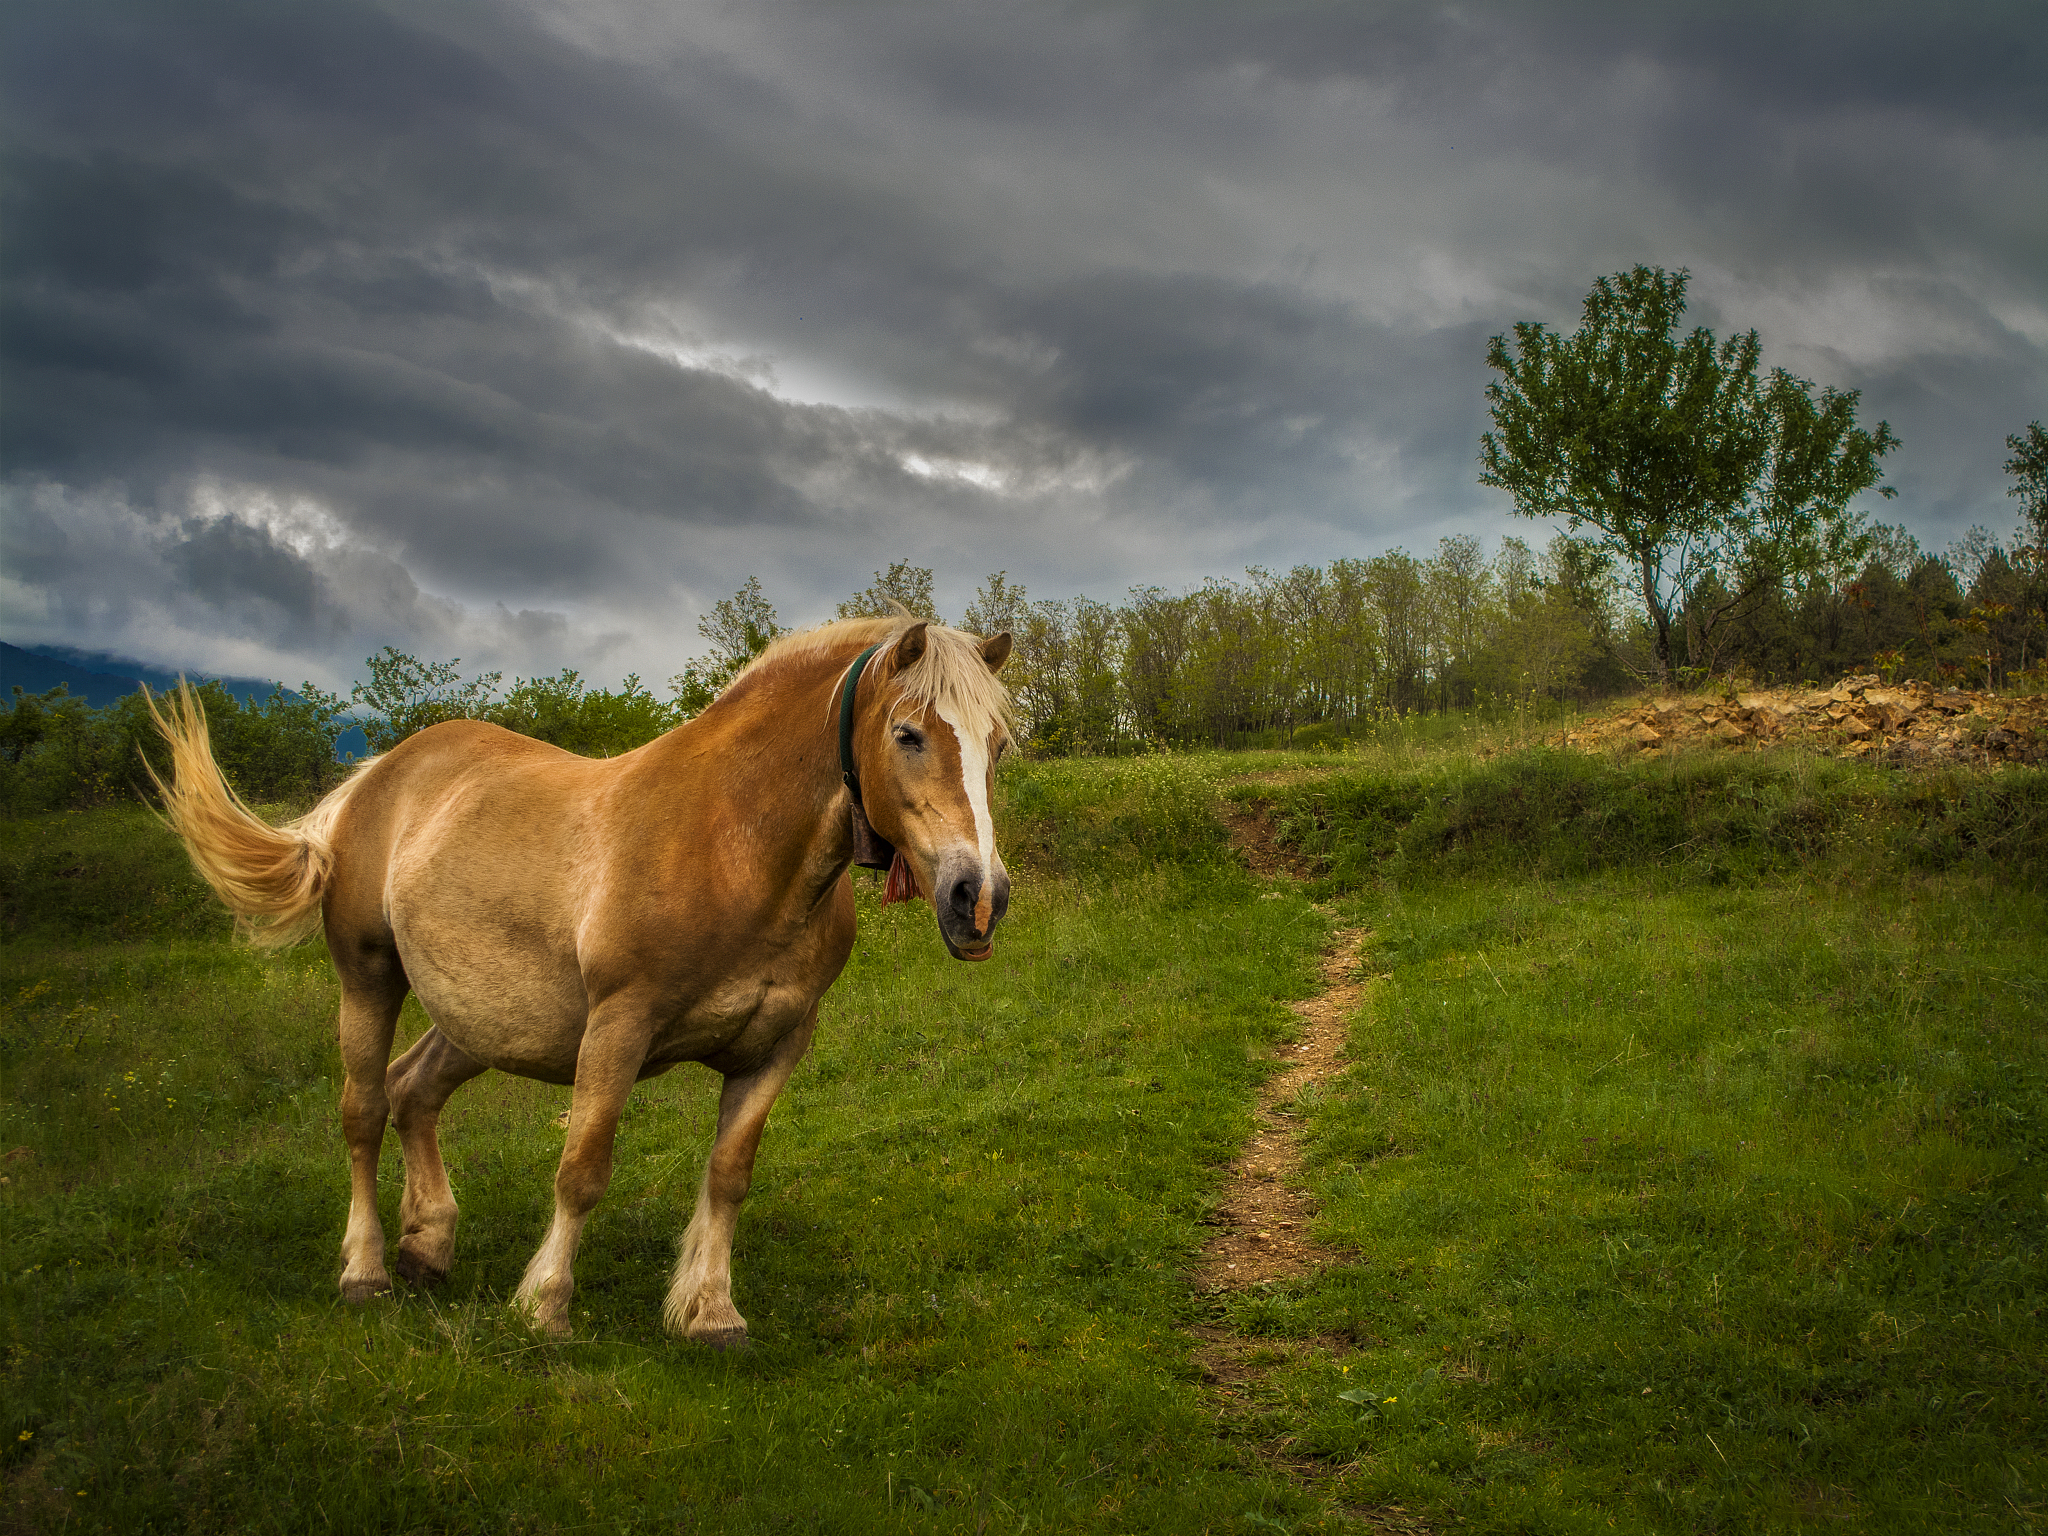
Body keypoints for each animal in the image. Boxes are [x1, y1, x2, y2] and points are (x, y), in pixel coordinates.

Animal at [147, 615, 1014, 1346]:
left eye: (998, 746)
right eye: (907, 733)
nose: (978, 898)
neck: (733, 843)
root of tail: (374, 777)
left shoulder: (776, 1045)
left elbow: (729, 1176)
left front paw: (710, 1311)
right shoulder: (618, 1028)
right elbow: (583, 1171)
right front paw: (544, 1305)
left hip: (480, 1020)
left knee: (412, 1091)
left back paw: (427, 1246)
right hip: (370, 978)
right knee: (362, 1111)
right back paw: (364, 1270)